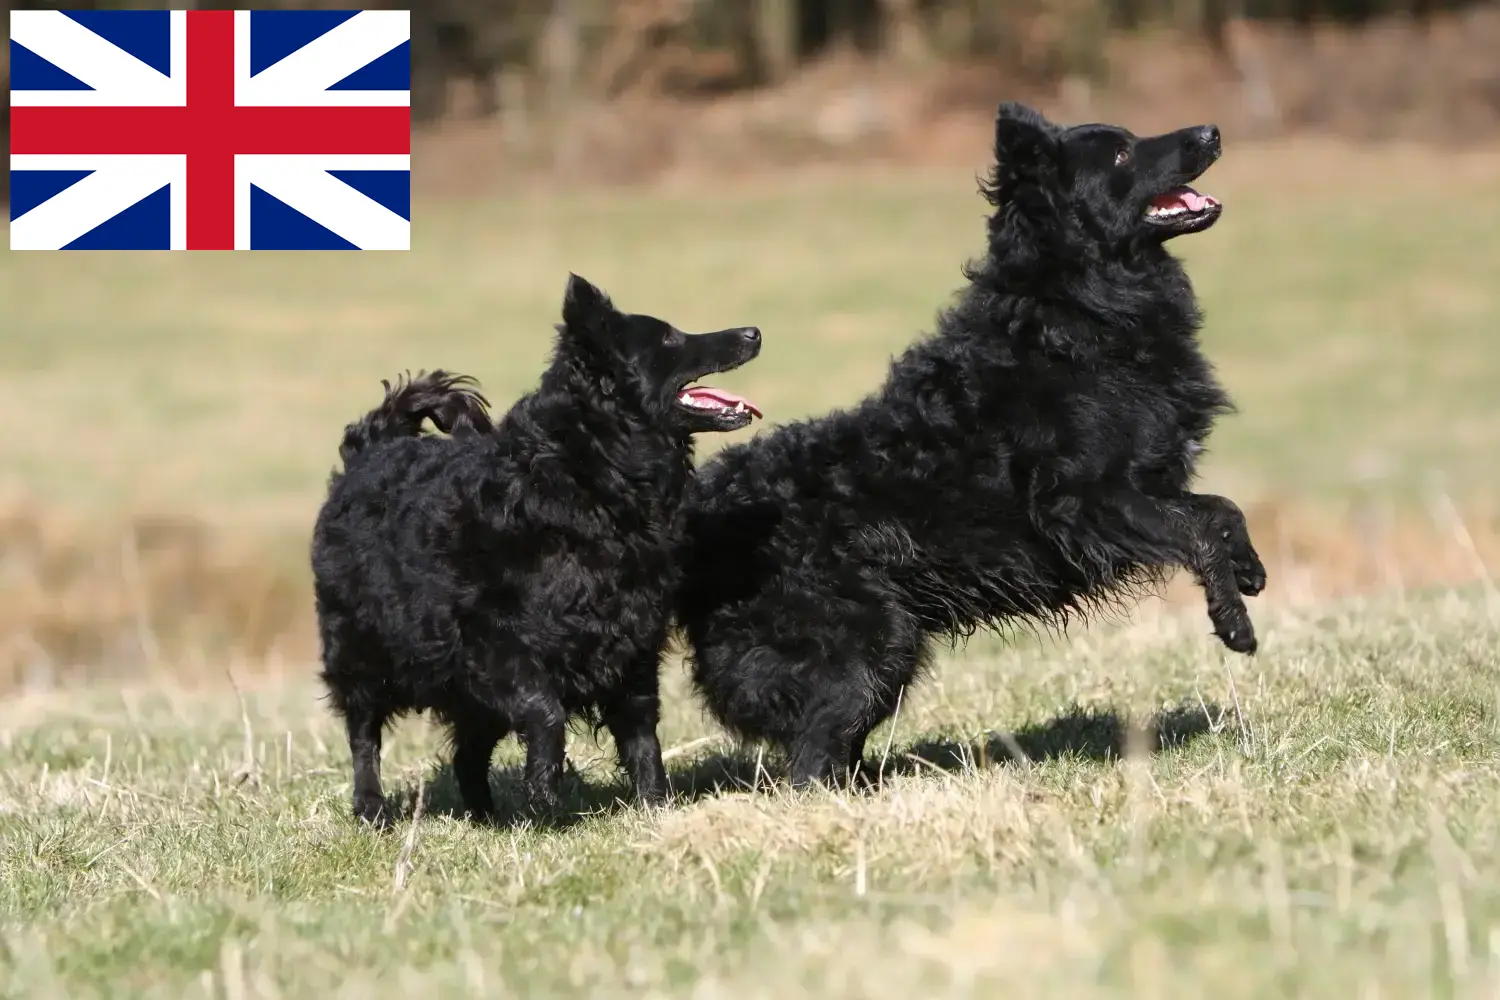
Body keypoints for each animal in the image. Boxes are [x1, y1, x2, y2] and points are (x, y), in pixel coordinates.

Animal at [313, 275, 762, 827]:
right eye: (669, 339)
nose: (754, 331)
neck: (591, 475)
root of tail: (371, 448)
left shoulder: (633, 641)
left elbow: (642, 738)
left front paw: (655, 808)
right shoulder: (498, 648)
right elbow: (546, 714)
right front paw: (545, 800)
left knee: (467, 755)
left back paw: (484, 816)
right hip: (362, 655)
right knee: (364, 735)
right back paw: (371, 807)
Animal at [681, 101, 1266, 791]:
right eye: (1122, 154)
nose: (1211, 132)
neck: (1075, 312)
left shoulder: (1147, 485)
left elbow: (1221, 509)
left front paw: (1250, 568)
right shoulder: (1086, 503)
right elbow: (1197, 530)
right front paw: (1234, 622)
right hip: (874, 643)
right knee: (812, 759)